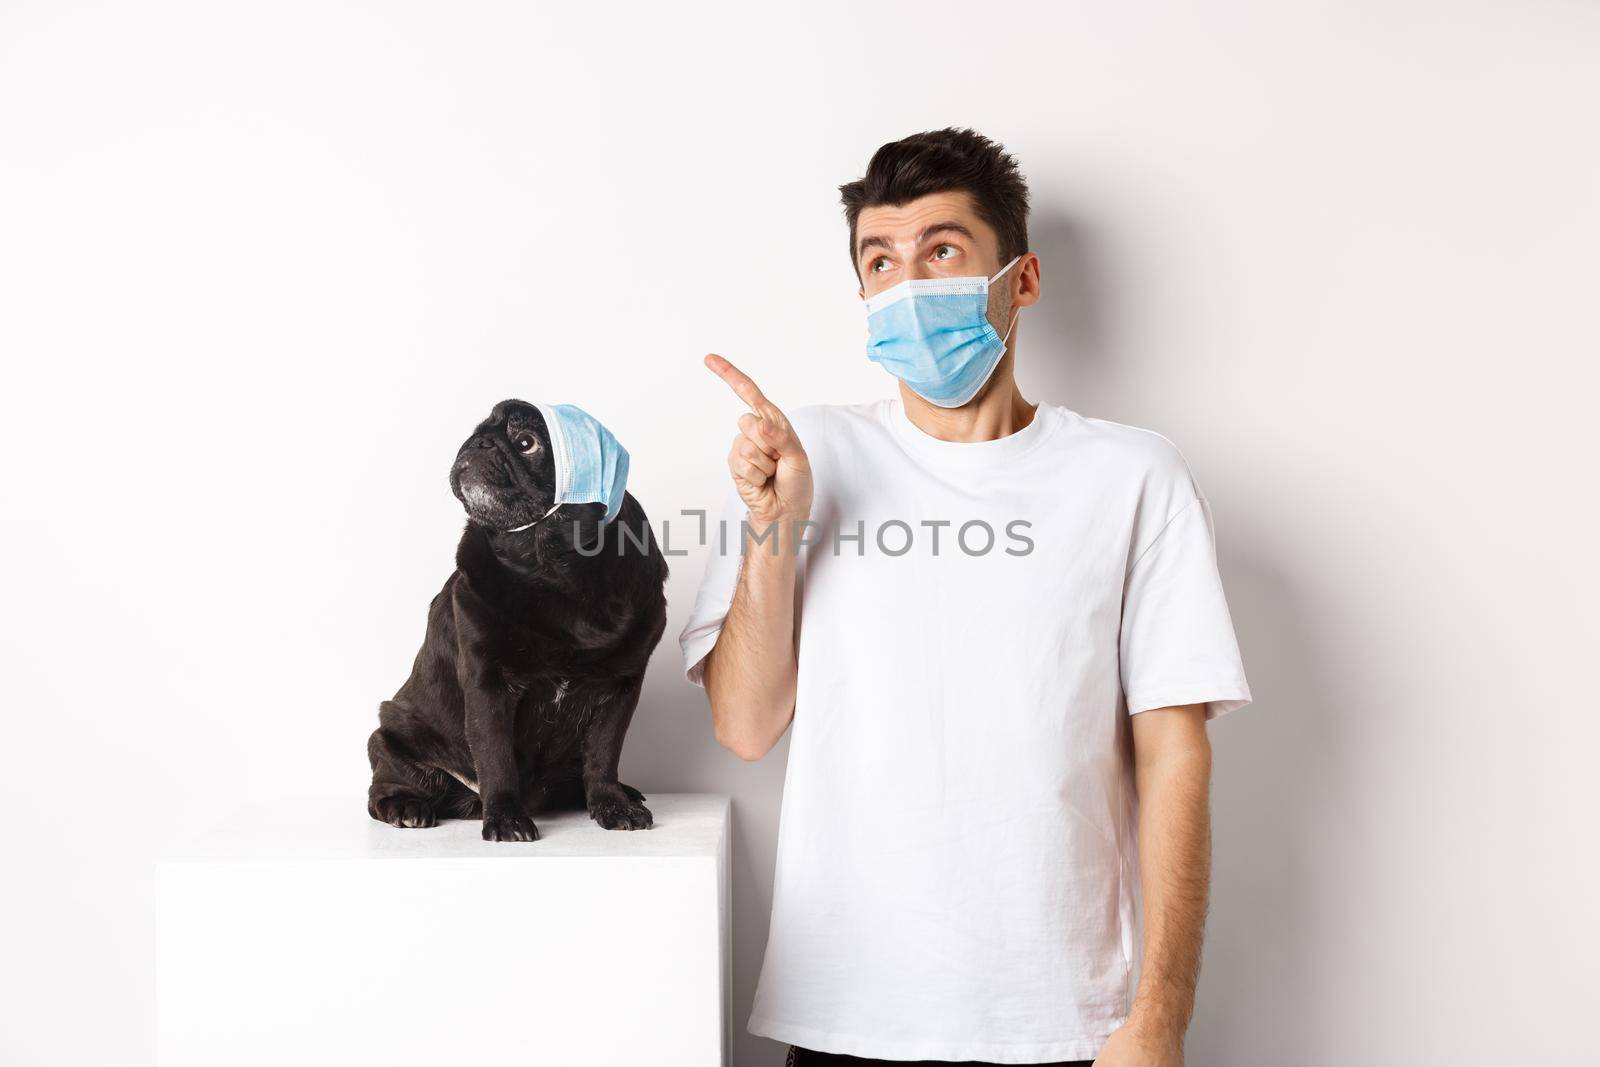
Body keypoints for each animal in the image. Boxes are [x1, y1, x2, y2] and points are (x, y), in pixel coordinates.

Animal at [366, 399, 665, 844]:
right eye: (476, 432)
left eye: (526, 443)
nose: (479, 443)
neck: (549, 567)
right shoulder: (488, 684)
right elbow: (495, 756)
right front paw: (506, 816)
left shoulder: (620, 689)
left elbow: (604, 754)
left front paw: (611, 803)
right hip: (391, 736)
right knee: (384, 787)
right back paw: (407, 807)